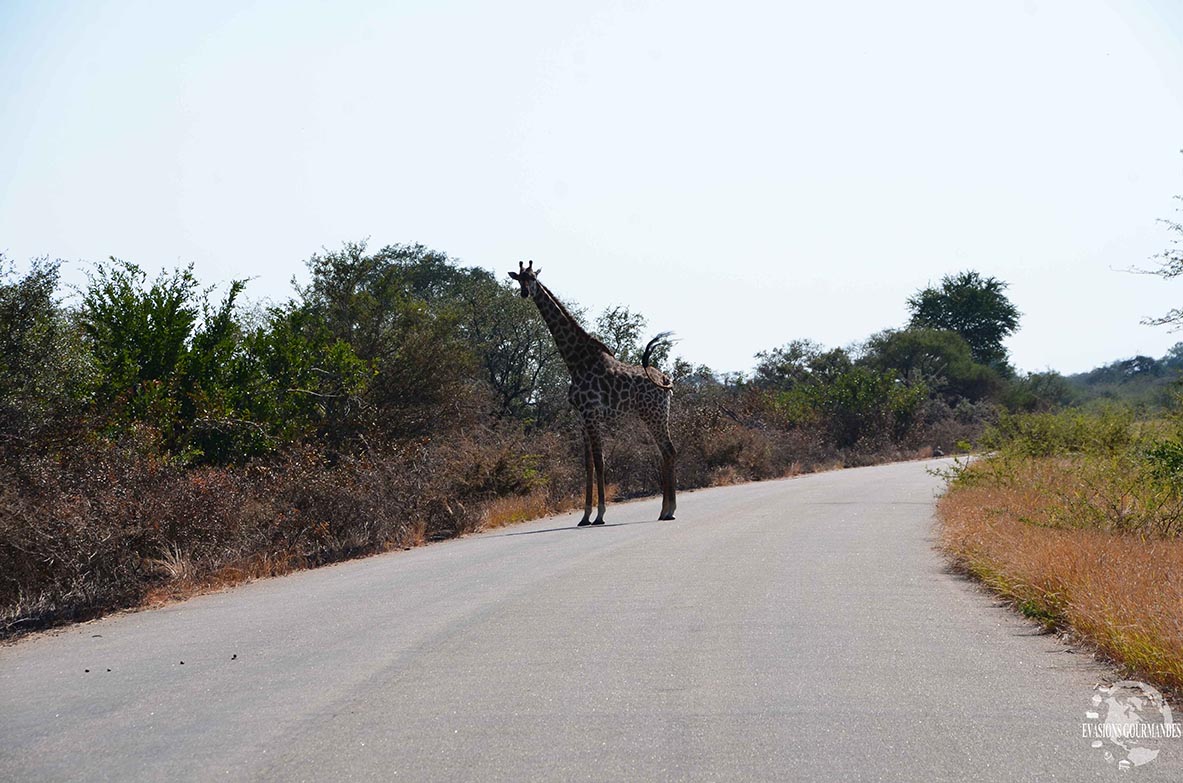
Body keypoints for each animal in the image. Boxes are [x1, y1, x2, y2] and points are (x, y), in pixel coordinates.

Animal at [506, 262, 681, 527]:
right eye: (519, 279)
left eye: (533, 277)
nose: (525, 293)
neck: (575, 361)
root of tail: (665, 380)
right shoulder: (581, 417)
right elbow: (587, 465)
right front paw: (585, 516)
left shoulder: (591, 413)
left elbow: (599, 462)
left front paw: (599, 514)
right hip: (654, 415)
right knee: (665, 453)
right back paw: (664, 511)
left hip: (655, 415)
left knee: (669, 451)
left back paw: (669, 510)